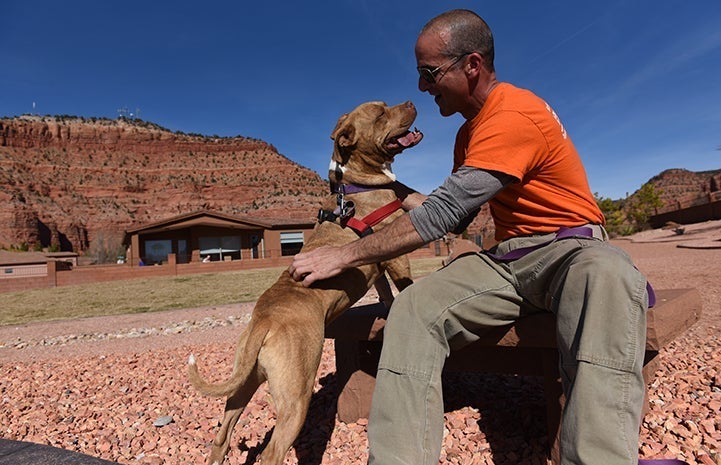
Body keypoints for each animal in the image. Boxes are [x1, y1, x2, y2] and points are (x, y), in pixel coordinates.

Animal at [187, 99, 422, 462]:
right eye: (381, 113)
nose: (411, 101)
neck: (357, 182)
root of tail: (265, 321)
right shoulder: (395, 252)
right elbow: (404, 284)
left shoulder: (377, 263)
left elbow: (386, 292)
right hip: (296, 397)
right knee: (271, 453)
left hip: (244, 382)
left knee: (222, 437)